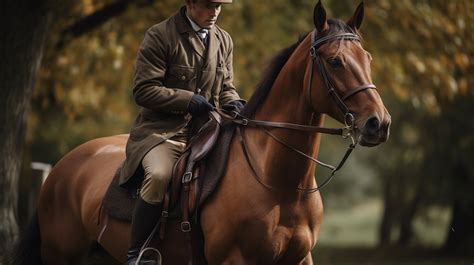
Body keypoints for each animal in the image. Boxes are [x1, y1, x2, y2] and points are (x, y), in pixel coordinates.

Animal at [12, 1, 390, 262]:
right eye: (335, 61)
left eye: (369, 58)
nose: (379, 124)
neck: (282, 185)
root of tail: (63, 166)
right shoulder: (236, 260)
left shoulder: (299, 259)